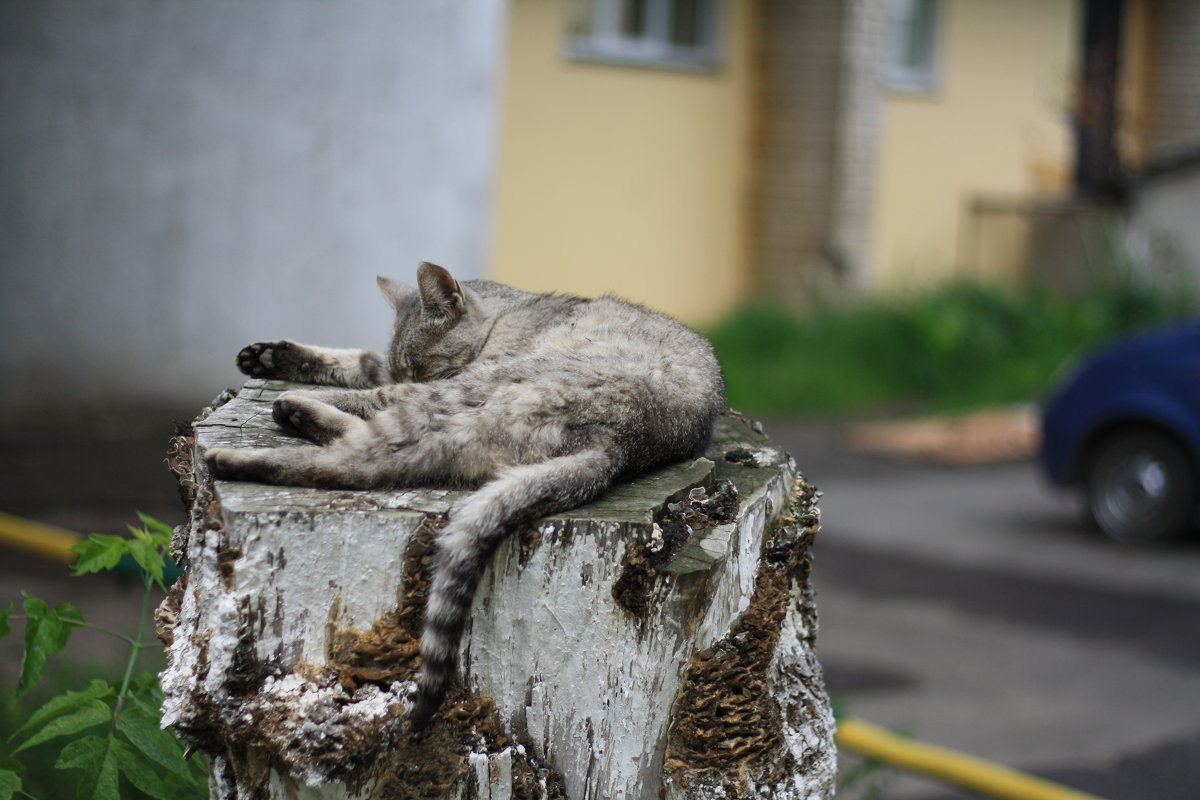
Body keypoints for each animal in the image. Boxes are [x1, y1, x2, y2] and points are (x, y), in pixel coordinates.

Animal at [204, 263, 720, 734]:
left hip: (462, 397)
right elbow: (363, 361)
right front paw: (268, 356)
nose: (411, 376)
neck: (503, 313)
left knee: (354, 459)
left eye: (421, 363)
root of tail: (618, 446)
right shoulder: (388, 367)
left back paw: (258, 437)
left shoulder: (429, 380)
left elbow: (375, 387)